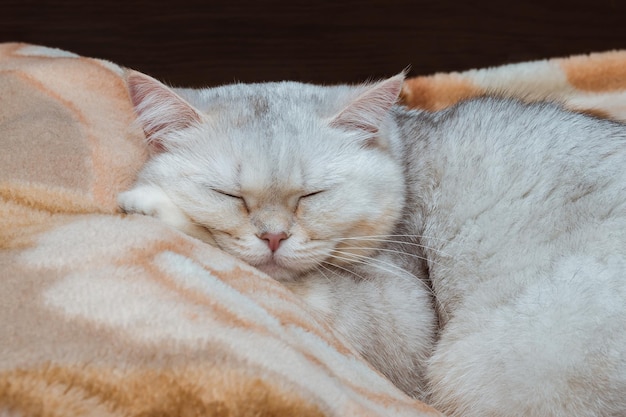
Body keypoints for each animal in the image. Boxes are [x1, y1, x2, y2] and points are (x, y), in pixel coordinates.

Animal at [117, 70, 624, 414]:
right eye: (230, 195)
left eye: (313, 195)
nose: (274, 236)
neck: (404, 151)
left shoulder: (404, 313)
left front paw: (154, 206)